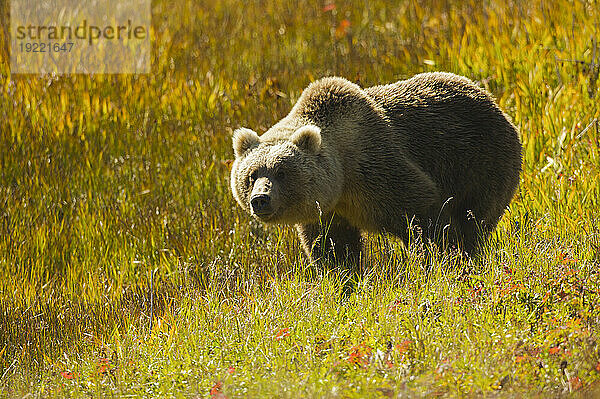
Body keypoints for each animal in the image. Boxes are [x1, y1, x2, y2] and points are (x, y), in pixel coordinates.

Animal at [230, 72, 520, 266]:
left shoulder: (377, 168)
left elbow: (424, 215)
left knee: (474, 217)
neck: (342, 182)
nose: (260, 199)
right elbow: (333, 248)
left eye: (281, 172)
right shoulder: (327, 213)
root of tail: (490, 98)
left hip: (479, 162)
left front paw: (443, 254)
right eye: (251, 175)